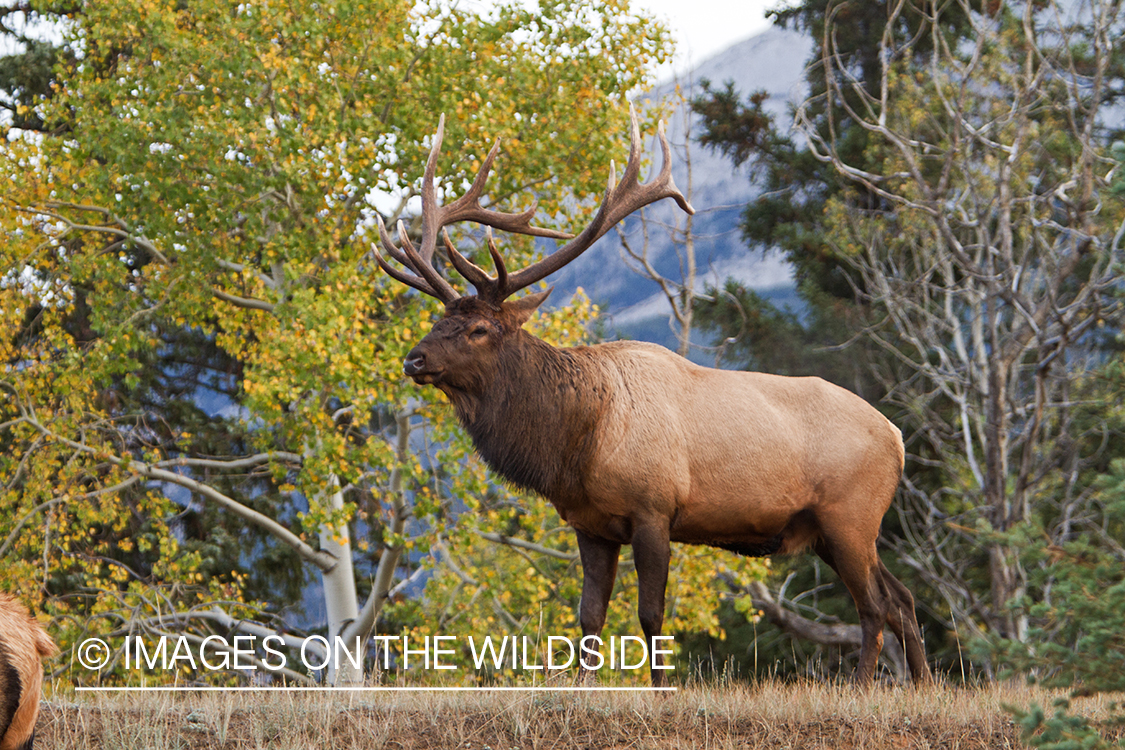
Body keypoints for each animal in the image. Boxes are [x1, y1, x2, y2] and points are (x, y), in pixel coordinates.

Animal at [375, 110, 931, 688]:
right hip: (832, 530)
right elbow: (589, 617)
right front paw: (583, 686)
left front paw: (663, 689)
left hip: (851, 515)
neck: (576, 443)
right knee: (903, 598)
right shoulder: (591, 526)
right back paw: (923, 684)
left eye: (480, 329)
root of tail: (898, 438)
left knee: (874, 606)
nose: (414, 359)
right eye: (438, 319)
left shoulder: (653, 507)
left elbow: (651, 617)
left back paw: (864, 685)